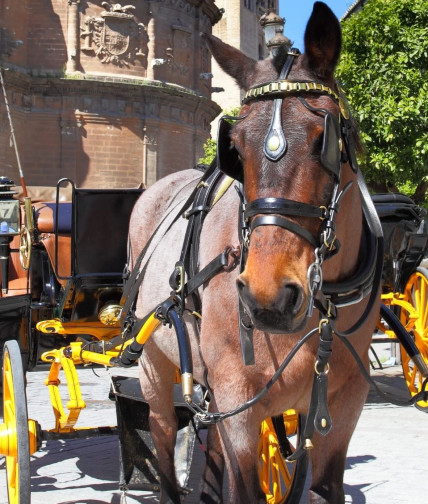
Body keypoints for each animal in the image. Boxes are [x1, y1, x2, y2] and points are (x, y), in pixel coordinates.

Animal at [127, 1, 382, 502]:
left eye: (325, 140)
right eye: (236, 149)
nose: (269, 296)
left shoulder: (341, 406)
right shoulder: (236, 402)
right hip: (154, 367)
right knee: (163, 437)